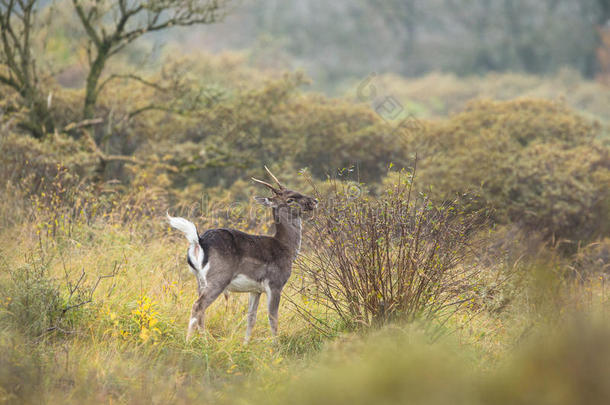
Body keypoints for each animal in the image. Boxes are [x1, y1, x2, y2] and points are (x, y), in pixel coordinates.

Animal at [166, 166, 318, 340]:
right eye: (291, 199)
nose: (314, 201)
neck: (286, 248)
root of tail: (198, 241)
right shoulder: (275, 283)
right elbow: (273, 319)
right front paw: (276, 345)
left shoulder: (255, 289)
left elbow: (251, 318)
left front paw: (246, 343)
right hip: (218, 277)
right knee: (198, 306)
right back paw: (190, 341)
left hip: (199, 279)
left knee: (201, 310)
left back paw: (204, 340)